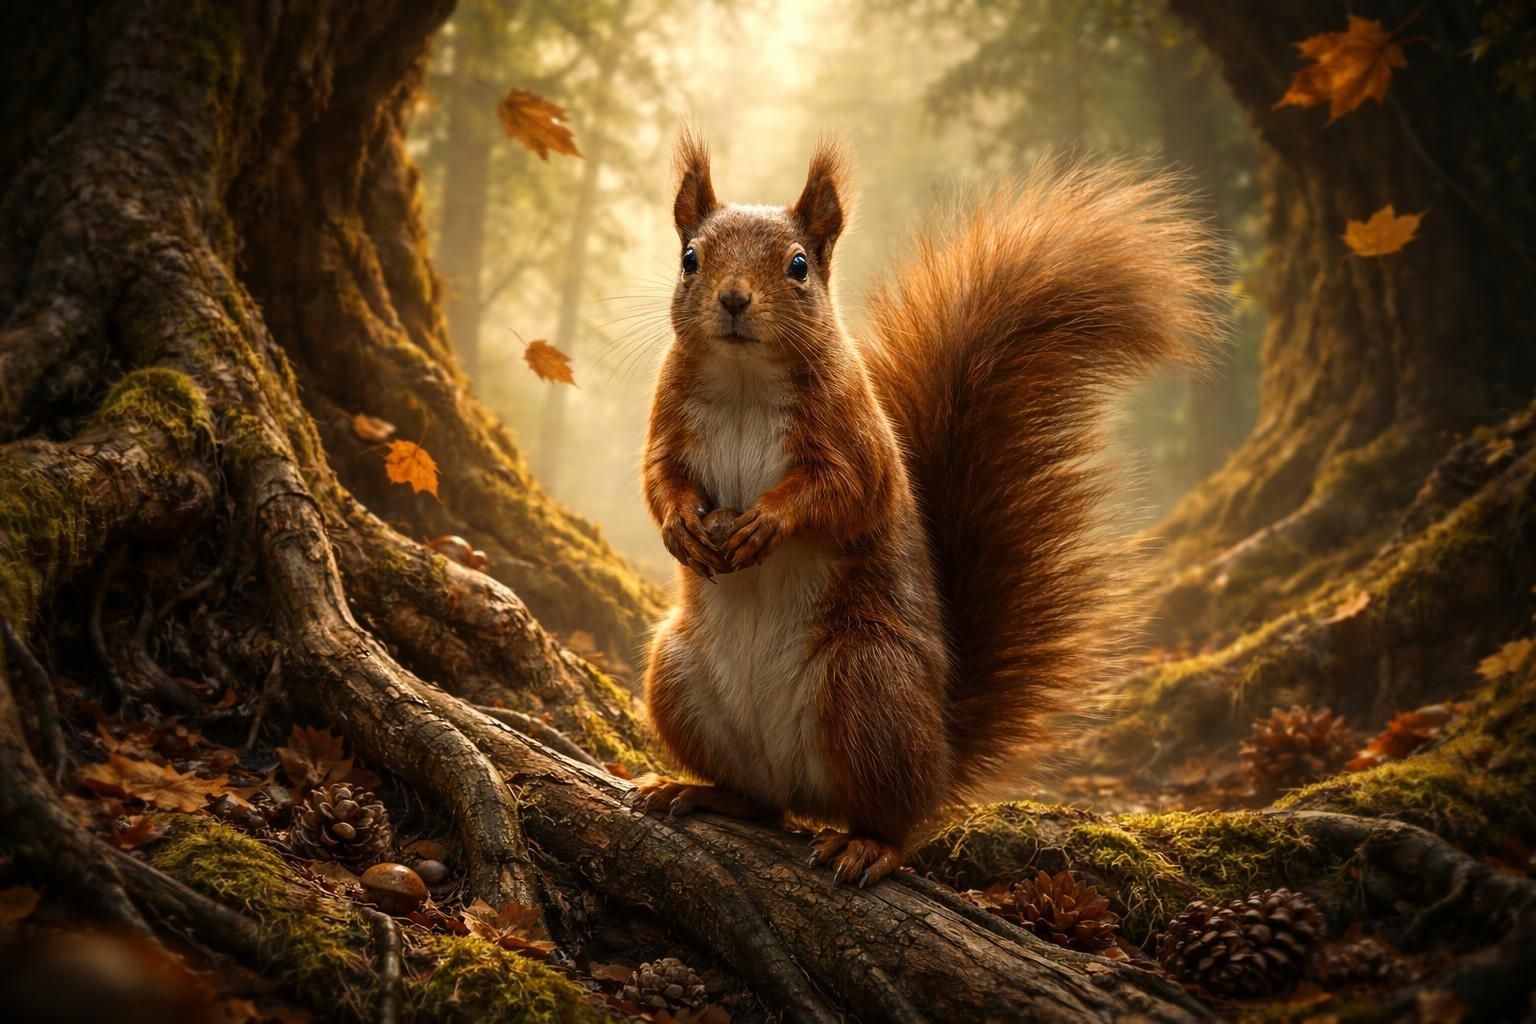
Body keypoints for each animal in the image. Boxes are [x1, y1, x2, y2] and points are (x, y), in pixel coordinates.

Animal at [632, 132, 1223, 885]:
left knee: (896, 821)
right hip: (677, 674)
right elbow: (660, 480)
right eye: (690, 257)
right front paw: (681, 526)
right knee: (762, 803)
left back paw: (866, 844)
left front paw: (766, 521)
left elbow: (843, 493)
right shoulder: (667, 422)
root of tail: (940, 756)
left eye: (798, 266)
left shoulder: (857, 438)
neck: (743, 379)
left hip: (868, 683)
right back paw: (699, 790)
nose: (734, 300)